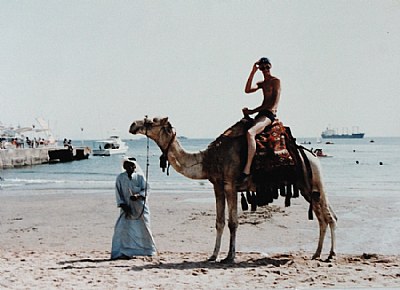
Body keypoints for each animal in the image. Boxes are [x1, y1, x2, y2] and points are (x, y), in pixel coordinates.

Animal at [130, 116, 336, 262]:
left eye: (153, 120)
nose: (133, 125)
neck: (208, 159)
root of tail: (313, 156)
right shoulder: (217, 186)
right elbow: (219, 222)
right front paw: (213, 256)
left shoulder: (230, 185)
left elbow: (233, 223)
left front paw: (230, 257)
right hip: (307, 188)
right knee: (322, 217)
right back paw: (317, 254)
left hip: (314, 182)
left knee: (329, 216)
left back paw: (330, 255)